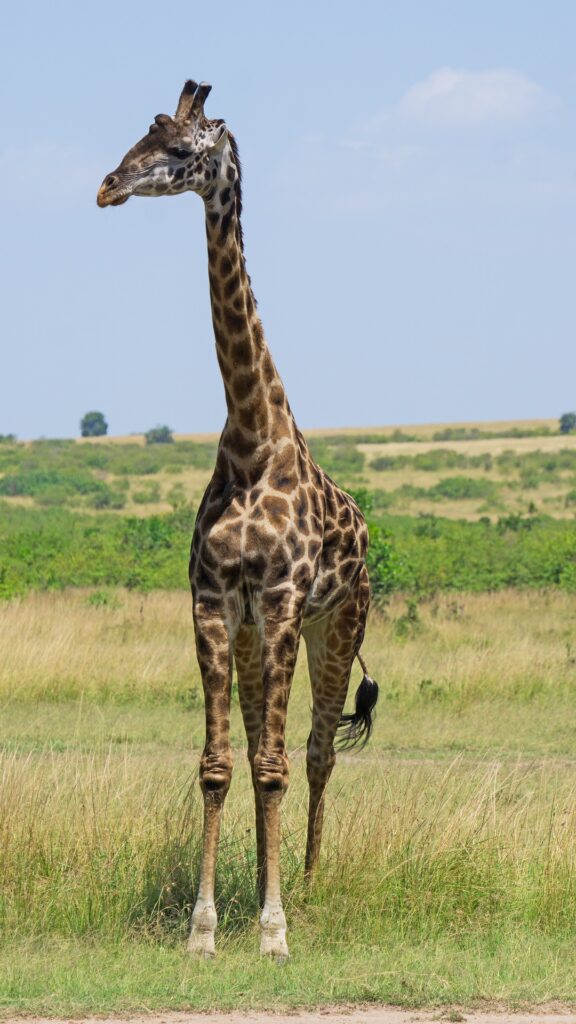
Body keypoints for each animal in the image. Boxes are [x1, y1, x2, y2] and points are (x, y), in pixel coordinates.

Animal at [97, 79, 379, 962]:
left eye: (183, 148)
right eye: (143, 132)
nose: (108, 186)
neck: (254, 439)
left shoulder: (284, 603)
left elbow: (278, 765)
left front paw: (276, 930)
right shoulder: (216, 604)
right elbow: (223, 765)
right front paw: (206, 928)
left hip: (337, 623)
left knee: (315, 752)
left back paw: (310, 882)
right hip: (259, 637)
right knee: (266, 747)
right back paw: (265, 880)